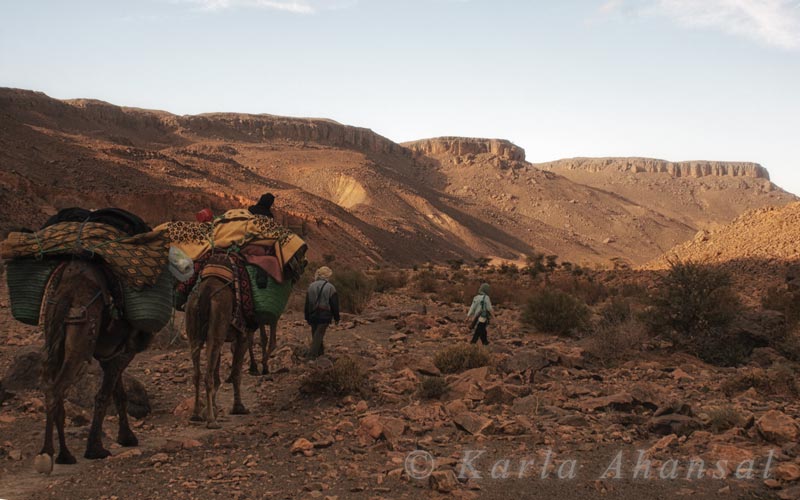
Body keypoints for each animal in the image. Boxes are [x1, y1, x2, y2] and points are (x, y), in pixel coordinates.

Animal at [33, 260, 152, 474]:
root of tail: (69, 288)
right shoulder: (124, 351)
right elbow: (104, 396)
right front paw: (95, 449)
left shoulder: (109, 355)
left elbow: (119, 394)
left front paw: (126, 437)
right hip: (81, 337)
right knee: (56, 388)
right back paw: (47, 454)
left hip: (53, 333)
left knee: (52, 388)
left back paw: (65, 455)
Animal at [186, 276, 248, 428]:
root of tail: (206, 291)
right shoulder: (244, 334)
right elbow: (236, 373)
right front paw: (239, 407)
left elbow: (217, 375)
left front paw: (214, 407)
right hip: (219, 322)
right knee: (207, 376)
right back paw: (211, 420)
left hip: (193, 327)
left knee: (197, 374)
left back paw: (196, 415)